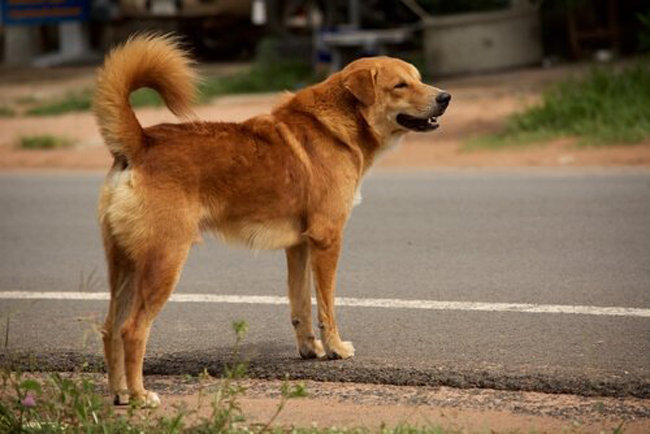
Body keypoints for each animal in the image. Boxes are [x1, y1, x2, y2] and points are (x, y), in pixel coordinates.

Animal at [93, 34, 448, 406]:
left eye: (419, 78)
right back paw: (139, 395)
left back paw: (120, 393)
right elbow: (326, 307)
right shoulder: (327, 239)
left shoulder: (300, 246)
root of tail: (141, 143)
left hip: (126, 265)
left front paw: (310, 350)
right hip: (164, 261)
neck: (336, 126)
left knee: (110, 328)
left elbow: (301, 307)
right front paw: (335, 348)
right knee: (132, 330)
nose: (445, 97)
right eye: (400, 85)